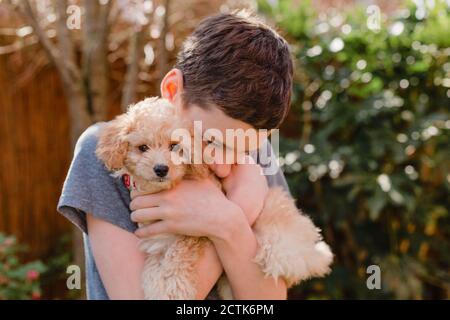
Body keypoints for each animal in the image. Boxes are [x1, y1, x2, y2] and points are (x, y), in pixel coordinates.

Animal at [96, 96, 332, 298]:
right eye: (142, 148)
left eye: (174, 146)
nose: (161, 169)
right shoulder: (155, 241)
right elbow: (153, 269)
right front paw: (155, 285)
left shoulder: (194, 234)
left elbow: (177, 256)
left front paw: (170, 289)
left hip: (276, 208)